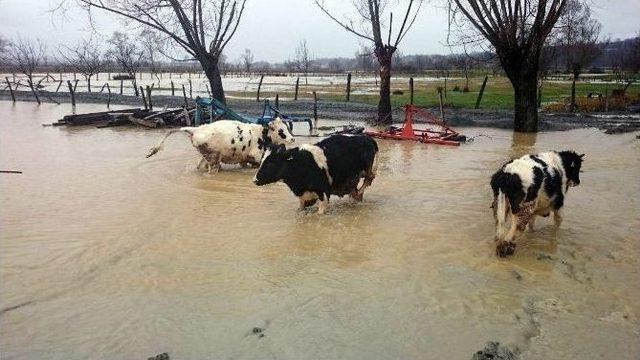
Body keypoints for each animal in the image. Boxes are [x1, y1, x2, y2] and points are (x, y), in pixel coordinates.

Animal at [146, 117, 294, 172]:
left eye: (287, 127)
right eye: (281, 131)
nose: (293, 139)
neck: (262, 135)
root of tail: (197, 129)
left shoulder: (244, 159)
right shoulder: (256, 157)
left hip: (206, 157)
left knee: (200, 167)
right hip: (213, 159)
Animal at [251, 134, 380, 214]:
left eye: (271, 163)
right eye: (262, 160)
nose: (255, 180)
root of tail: (367, 139)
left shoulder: (323, 194)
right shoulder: (303, 198)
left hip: (367, 169)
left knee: (368, 179)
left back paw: (358, 195)